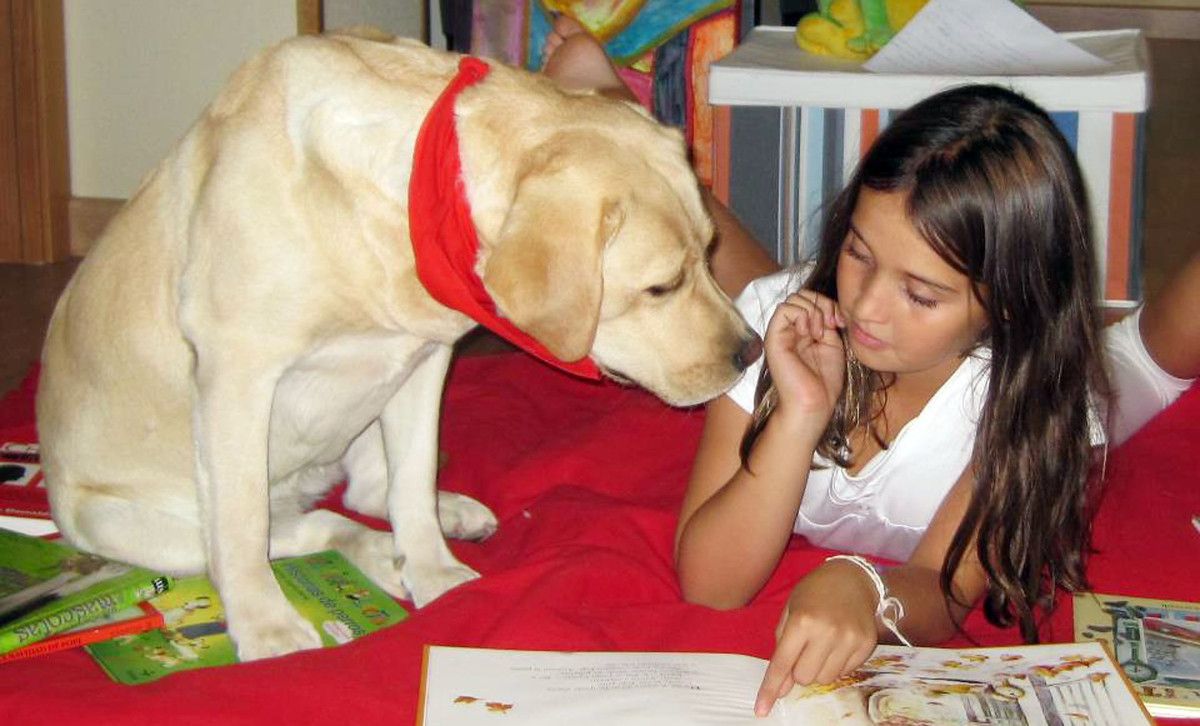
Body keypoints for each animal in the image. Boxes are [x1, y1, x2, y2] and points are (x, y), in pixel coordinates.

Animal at [37, 31, 758, 657]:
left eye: (711, 251)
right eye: (661, 286)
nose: (749, 352)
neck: (413, 192)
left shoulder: (423, 359)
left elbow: (409, 486)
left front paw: (436, 572)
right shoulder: (236, 372)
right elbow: (241, 530)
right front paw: (265, 625)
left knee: (365, 493)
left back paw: (439, 519)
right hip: (133, 522)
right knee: (282, 528)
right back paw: (373, 555)